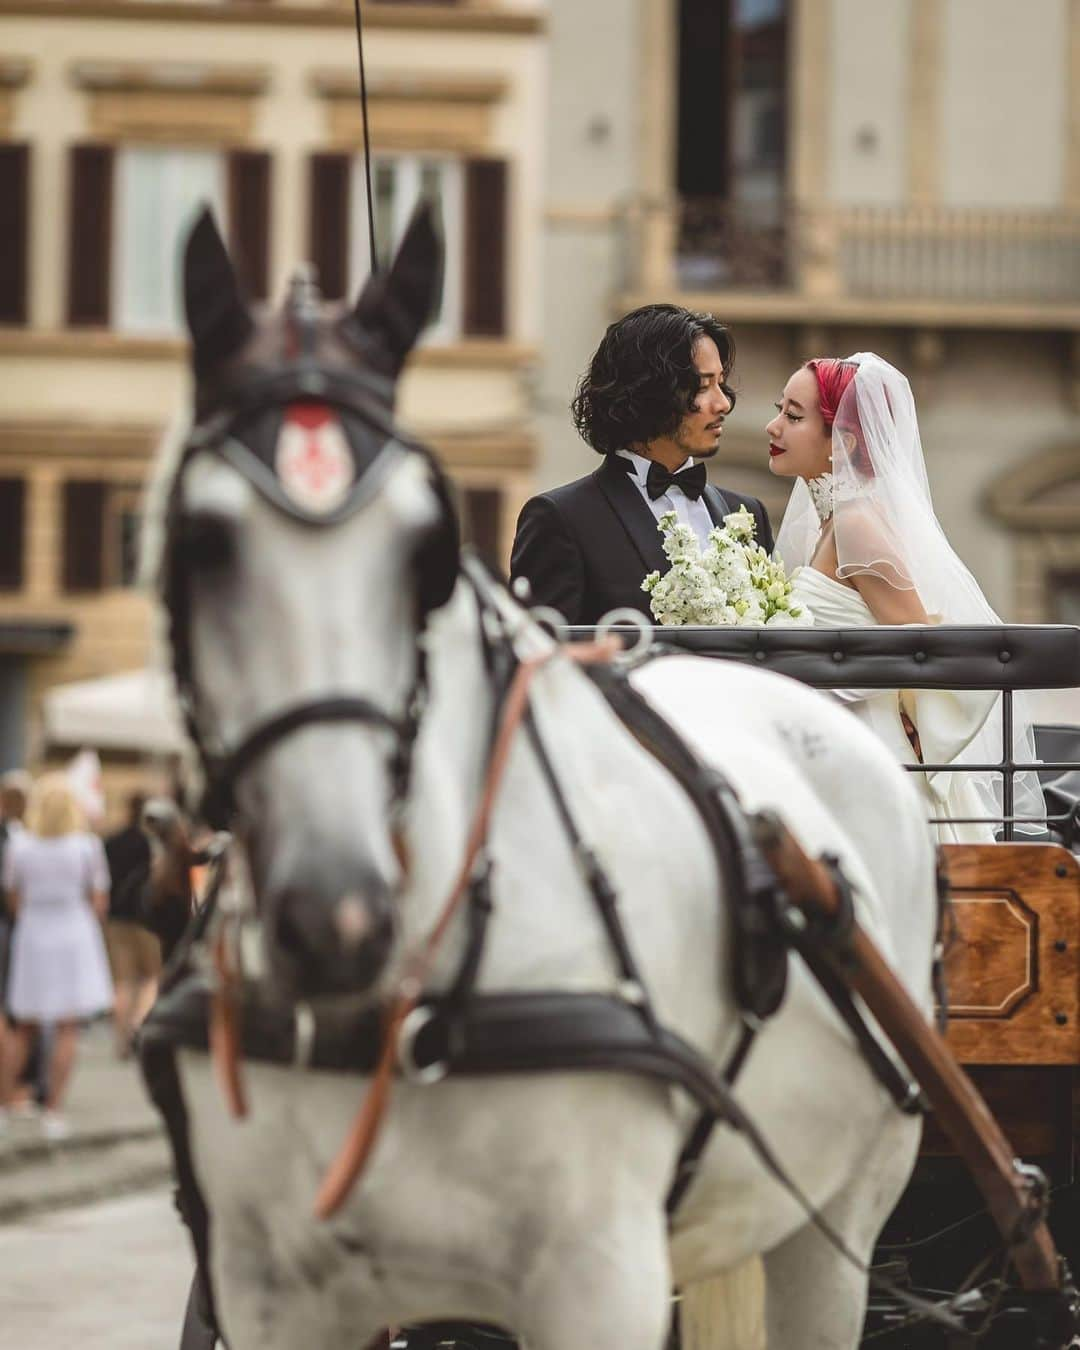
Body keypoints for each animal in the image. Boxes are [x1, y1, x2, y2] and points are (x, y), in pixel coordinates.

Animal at [149, 207, 934, 1350]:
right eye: (194, 541)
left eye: (428, 549)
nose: (334, 913)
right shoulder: (270, 1287)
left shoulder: (598, 1275)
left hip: (838, 1220)